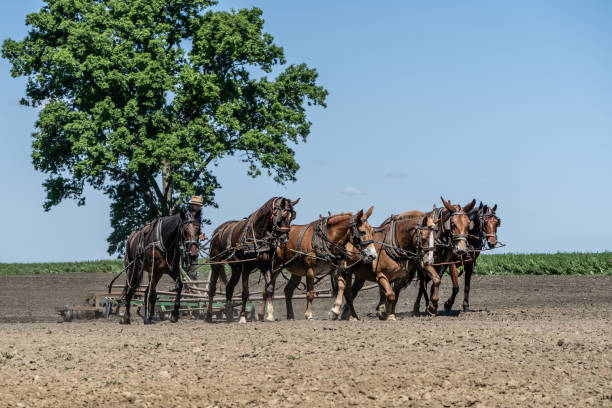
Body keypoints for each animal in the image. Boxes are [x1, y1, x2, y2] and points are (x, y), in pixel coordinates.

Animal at [207, 196, 300, 324]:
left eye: (292, 217)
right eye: (281, 216)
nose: (284, 239)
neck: (257, 234)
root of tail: (218, 230)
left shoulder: (265, 265)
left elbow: (270, 289)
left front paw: (270, 315)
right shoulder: (246, 267)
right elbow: (245, 293)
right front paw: (242, 317)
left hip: (236, 268)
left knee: (229, 288)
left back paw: (229, 315)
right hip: (216, 263)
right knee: (212, 288)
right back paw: (209, 316)